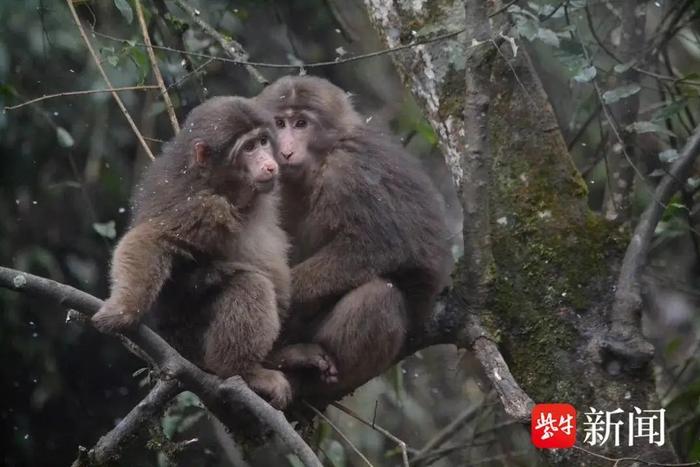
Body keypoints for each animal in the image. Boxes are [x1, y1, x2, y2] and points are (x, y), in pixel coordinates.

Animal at [91, 96, 292, 410]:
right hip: (189, 342)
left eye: (262, 141)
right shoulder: (200, 206)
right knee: (250, 284)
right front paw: (124, 309)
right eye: (248, 148)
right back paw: (241, 371)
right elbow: (151, 239)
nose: (270, 164)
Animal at [258, 75, 454, 400]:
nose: (285, 150)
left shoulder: (349, 172)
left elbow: (385, 245)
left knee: (380, 295)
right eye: (280, 123)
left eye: (301, 124)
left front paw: (283, 292)